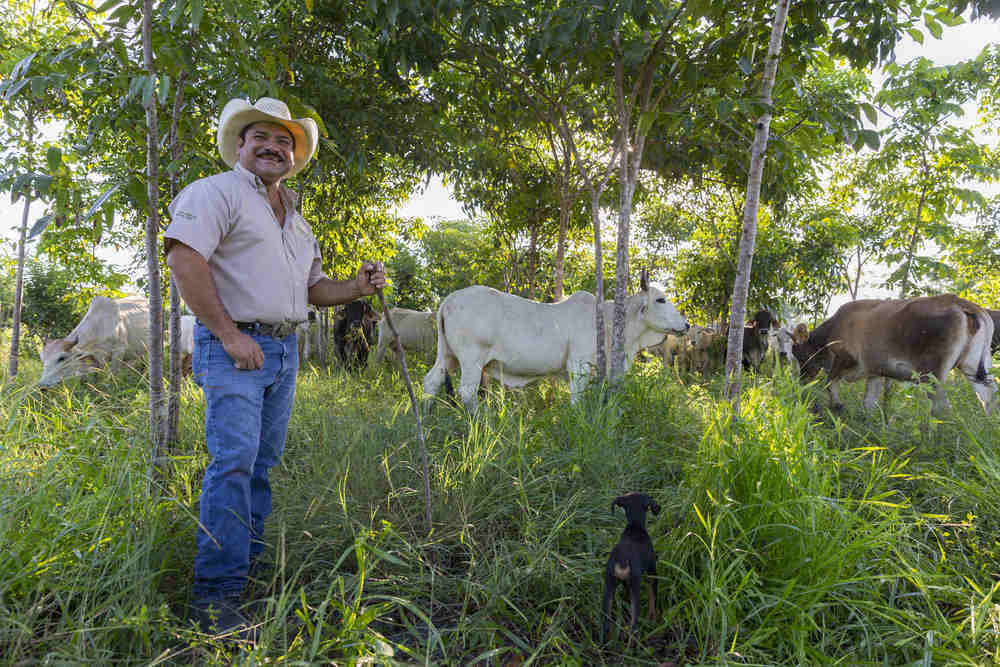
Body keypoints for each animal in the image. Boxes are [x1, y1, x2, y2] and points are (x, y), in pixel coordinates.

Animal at [422, 272, 688, 410]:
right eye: (660, 300)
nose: (686, 325)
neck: (609, 320)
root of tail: (449, 300)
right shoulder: (578, 366)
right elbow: (577, 400)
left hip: (447, 356)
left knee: (431, 381)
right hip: (471, 359)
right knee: (467, 392)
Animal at [600, 494, 656, 644]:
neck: (635, 526)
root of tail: (622, 559)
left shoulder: (625, 584)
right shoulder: (652, 571)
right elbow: (653, 599)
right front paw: (653, 620)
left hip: (609, 587)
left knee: (605, 623)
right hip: (635, 587)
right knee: (633, 625)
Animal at [792, 294, 996, 414]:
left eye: (800, 355)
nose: (801, 380)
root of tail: (963, 304)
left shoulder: (845, 358)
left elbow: (829, 383)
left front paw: (837, 406)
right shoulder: (875, 370)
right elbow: (869, 401)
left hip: (932, 373)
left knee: (942, 406)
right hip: (974, 366)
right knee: (988, 395)